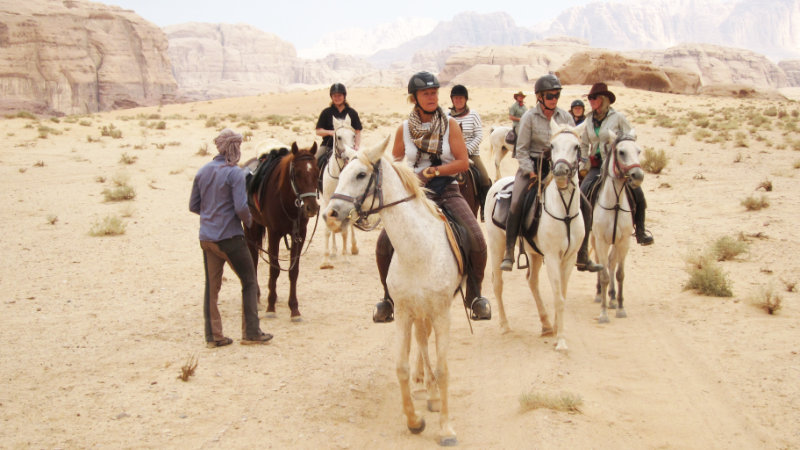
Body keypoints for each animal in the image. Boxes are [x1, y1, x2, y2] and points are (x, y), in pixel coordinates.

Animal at [244, 141, 320, 322]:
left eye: (316, 172)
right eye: (297, 174)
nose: (312, 207)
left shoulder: (299, 234)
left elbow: (293, 271)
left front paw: (294, 309)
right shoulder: (274, 234)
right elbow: (275, 269)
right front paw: (271, 307)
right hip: (251, 229)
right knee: (254, 258)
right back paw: (257, 296)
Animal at [319, 117, 359, 269]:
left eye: (353, 136)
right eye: (339, 137)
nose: (349, 155)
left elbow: (345, 231)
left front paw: (345, 257)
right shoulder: (326, 203)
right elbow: (327, 230)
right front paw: (325, 260)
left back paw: (353, 248)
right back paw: (333, 251)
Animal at [323, 136, 461, 446]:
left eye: (361, 175)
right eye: (342, 172)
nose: (331, 215)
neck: (418, 251)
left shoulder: (442, 313)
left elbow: (445, 368)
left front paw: (446, 428)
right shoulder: (404, 312)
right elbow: (401, 367)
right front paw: (414, 420)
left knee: (427, 343)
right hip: (418, 312)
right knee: (422, 342)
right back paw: (428, 391)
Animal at [485, 120, 587, 351]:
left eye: (576, 146)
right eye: (553, 145)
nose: (560, 172)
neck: (564, 211)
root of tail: (497, 185)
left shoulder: (569, 258)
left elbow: (562, 295)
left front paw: (557, 329)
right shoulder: (552, 257)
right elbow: (558, 297)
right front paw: (561, 341)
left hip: (533, 253)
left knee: (531, 281)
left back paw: (546, 324)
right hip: (497, 245)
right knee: (498, 283)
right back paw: (505, 325)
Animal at [590, 131, 644, 323]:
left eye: (638, 151)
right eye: (621, 152)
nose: (638, 176)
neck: (614, 204)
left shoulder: (623, 242)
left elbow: (620, 274)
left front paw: (620, 307)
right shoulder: (601, 241)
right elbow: (604, 275)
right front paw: (603, 313)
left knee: (611, 262)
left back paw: (612, 298)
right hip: (594, 239)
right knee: (601, 263)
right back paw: (600, 294)